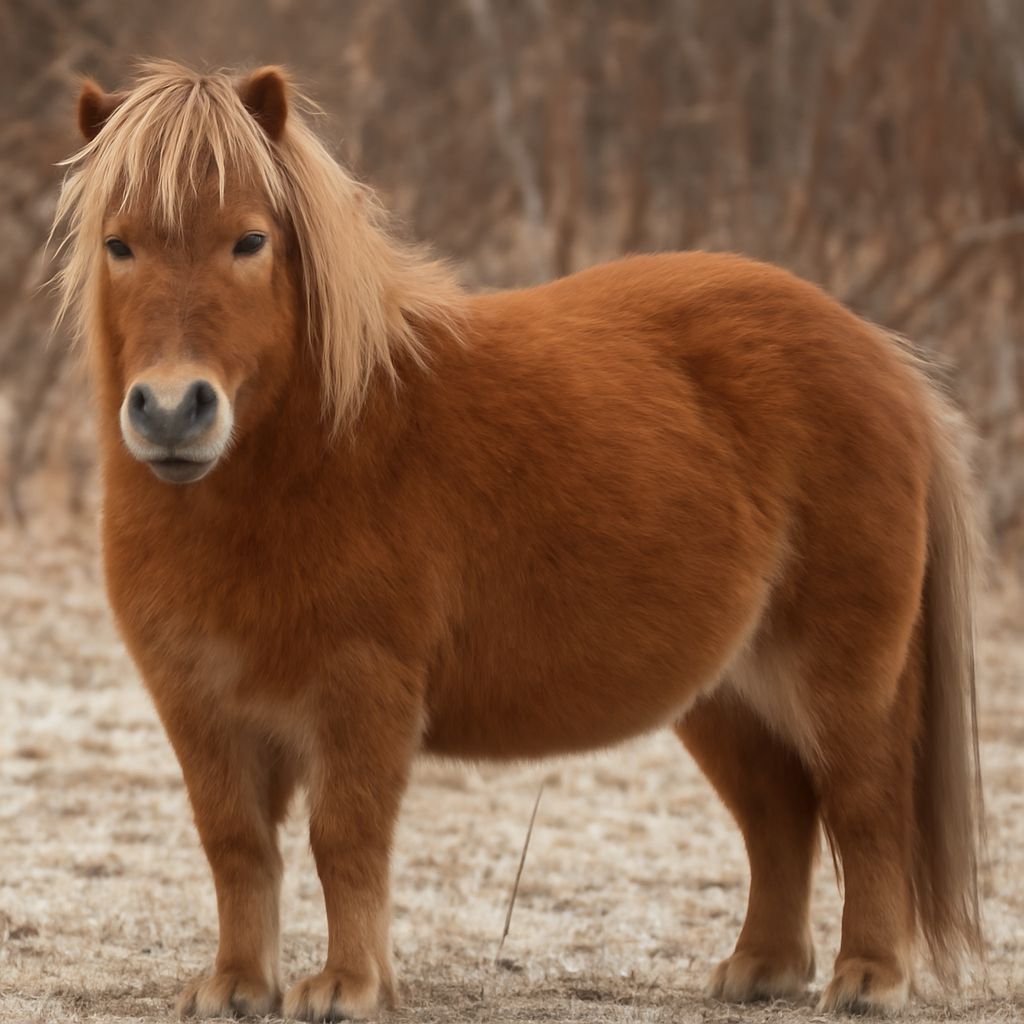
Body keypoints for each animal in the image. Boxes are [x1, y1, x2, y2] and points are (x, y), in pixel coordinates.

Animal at [52, 61, 984, 1020]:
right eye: (118, 245)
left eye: (250, 241)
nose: (173, 411)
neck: (310, 457)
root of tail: (878, 353)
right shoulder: (197, 703)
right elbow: (235, 843)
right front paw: (236, 986)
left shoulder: (363, 692)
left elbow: (345, 840)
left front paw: (348, 985)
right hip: (727, 690)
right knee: (778, 813)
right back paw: (759, 969)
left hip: (840, 677)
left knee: (865, 805)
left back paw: (868, 976)